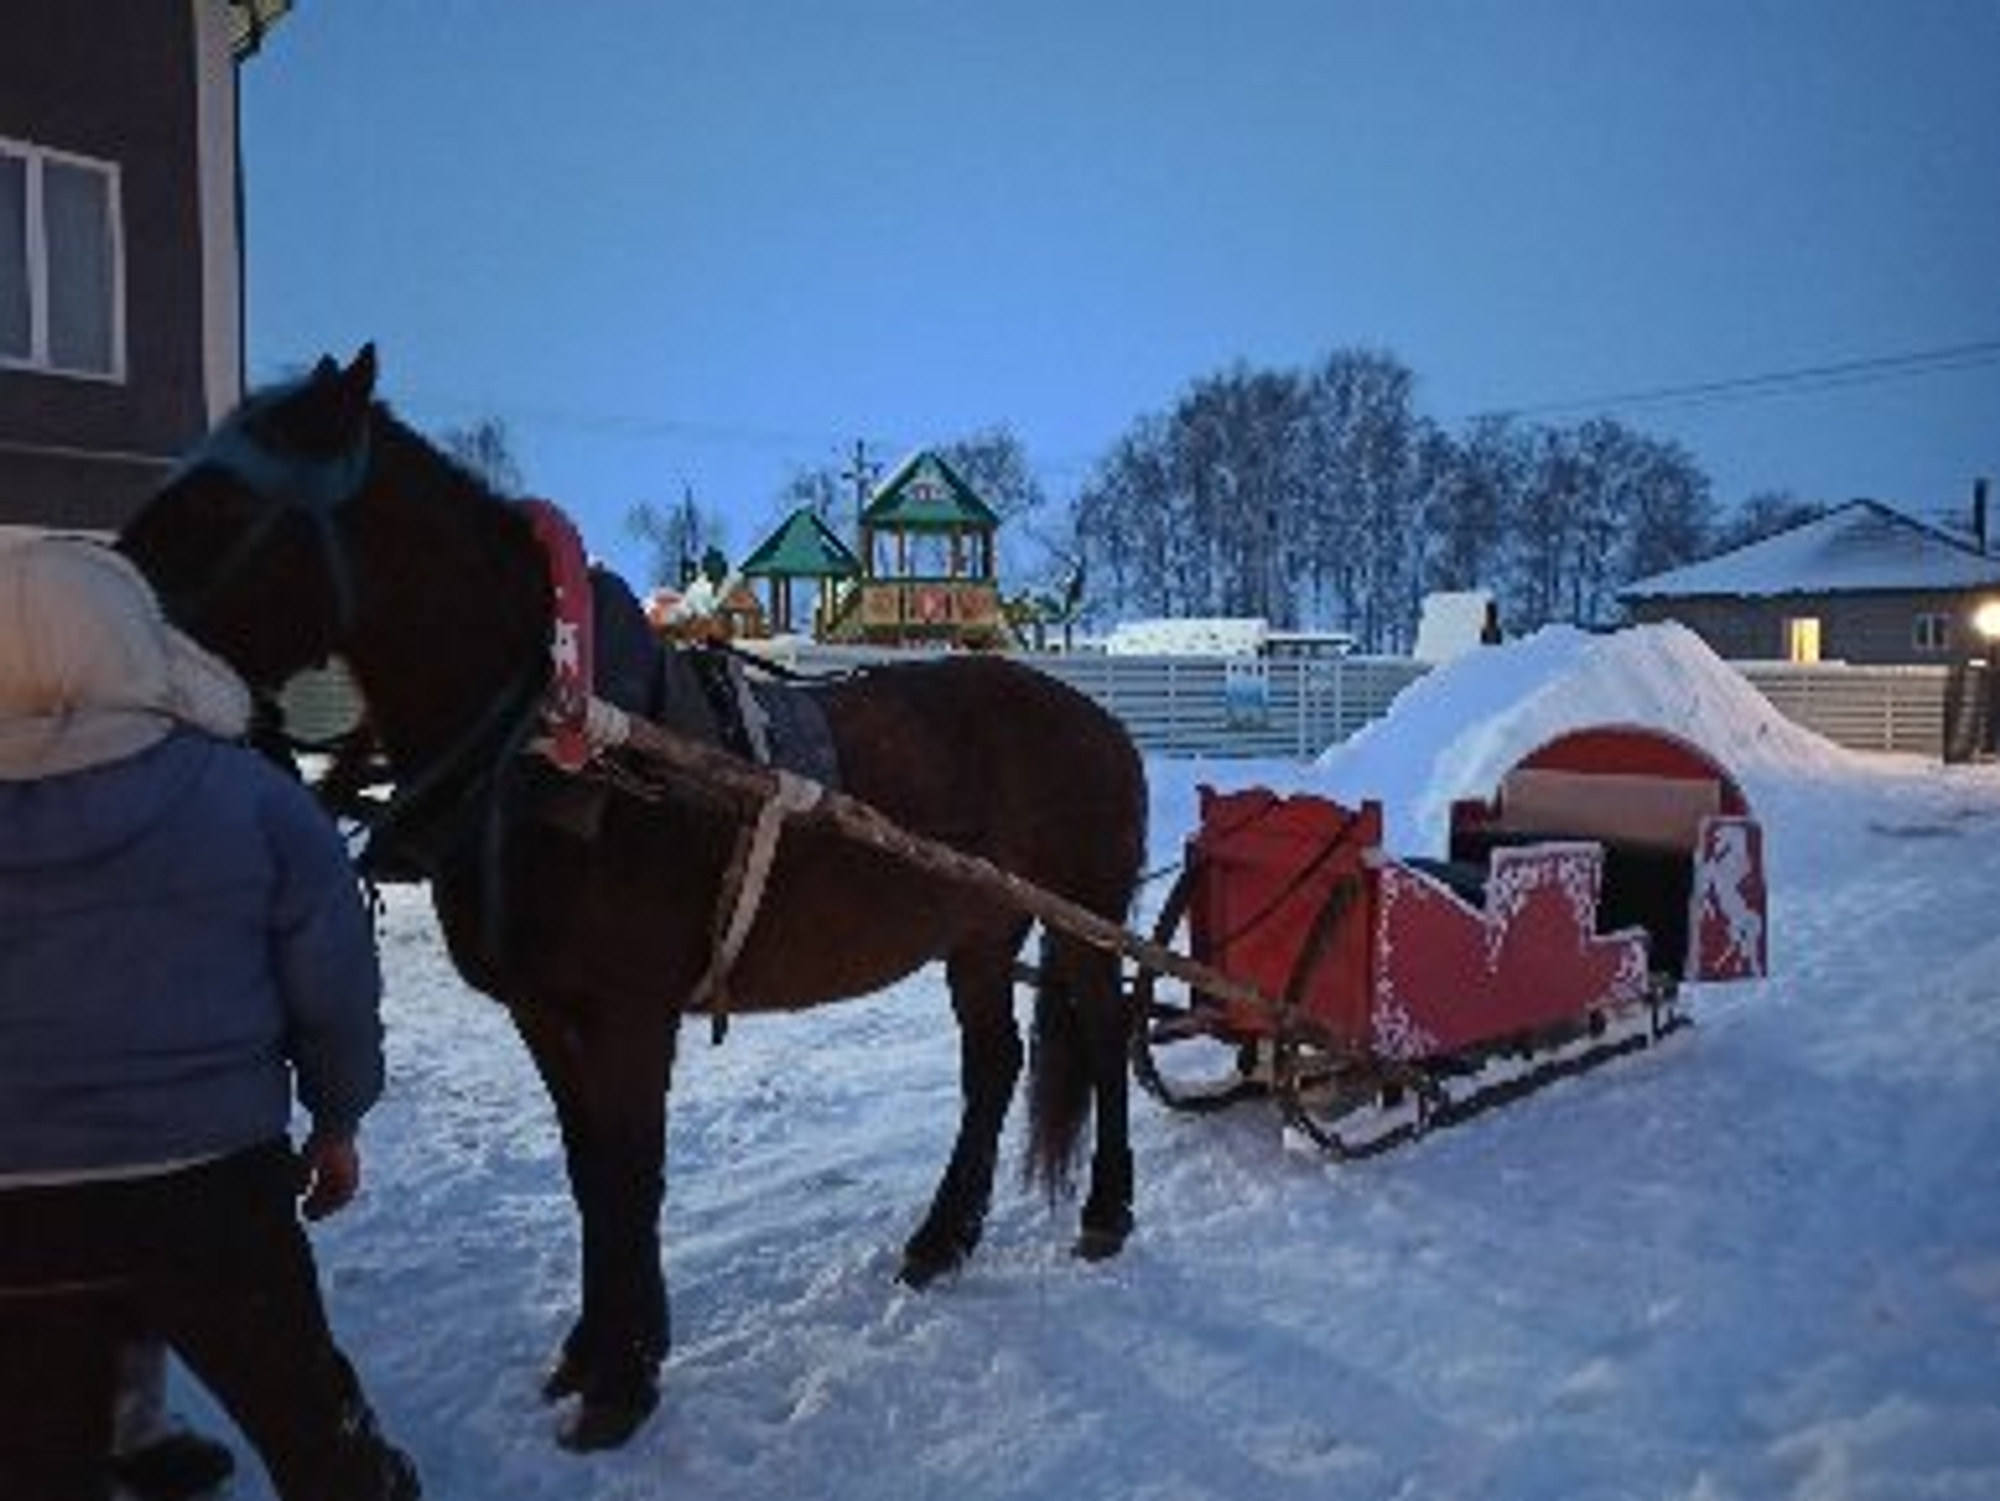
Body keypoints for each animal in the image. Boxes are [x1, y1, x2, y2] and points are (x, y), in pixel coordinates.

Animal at [125, 350, 1152, 1456]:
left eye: (221, 501)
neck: (565, 738)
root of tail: (1099, 724)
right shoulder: (544, 1011)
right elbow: (589, 1174)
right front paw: (593, 1350)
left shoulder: (629, 1014)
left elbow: (630, 1174)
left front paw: (622, 1380)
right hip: (978, 931)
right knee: (992, 1067)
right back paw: (941, 1237)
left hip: (1078, 923)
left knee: (1102, 1037)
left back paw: (1105, 1210)